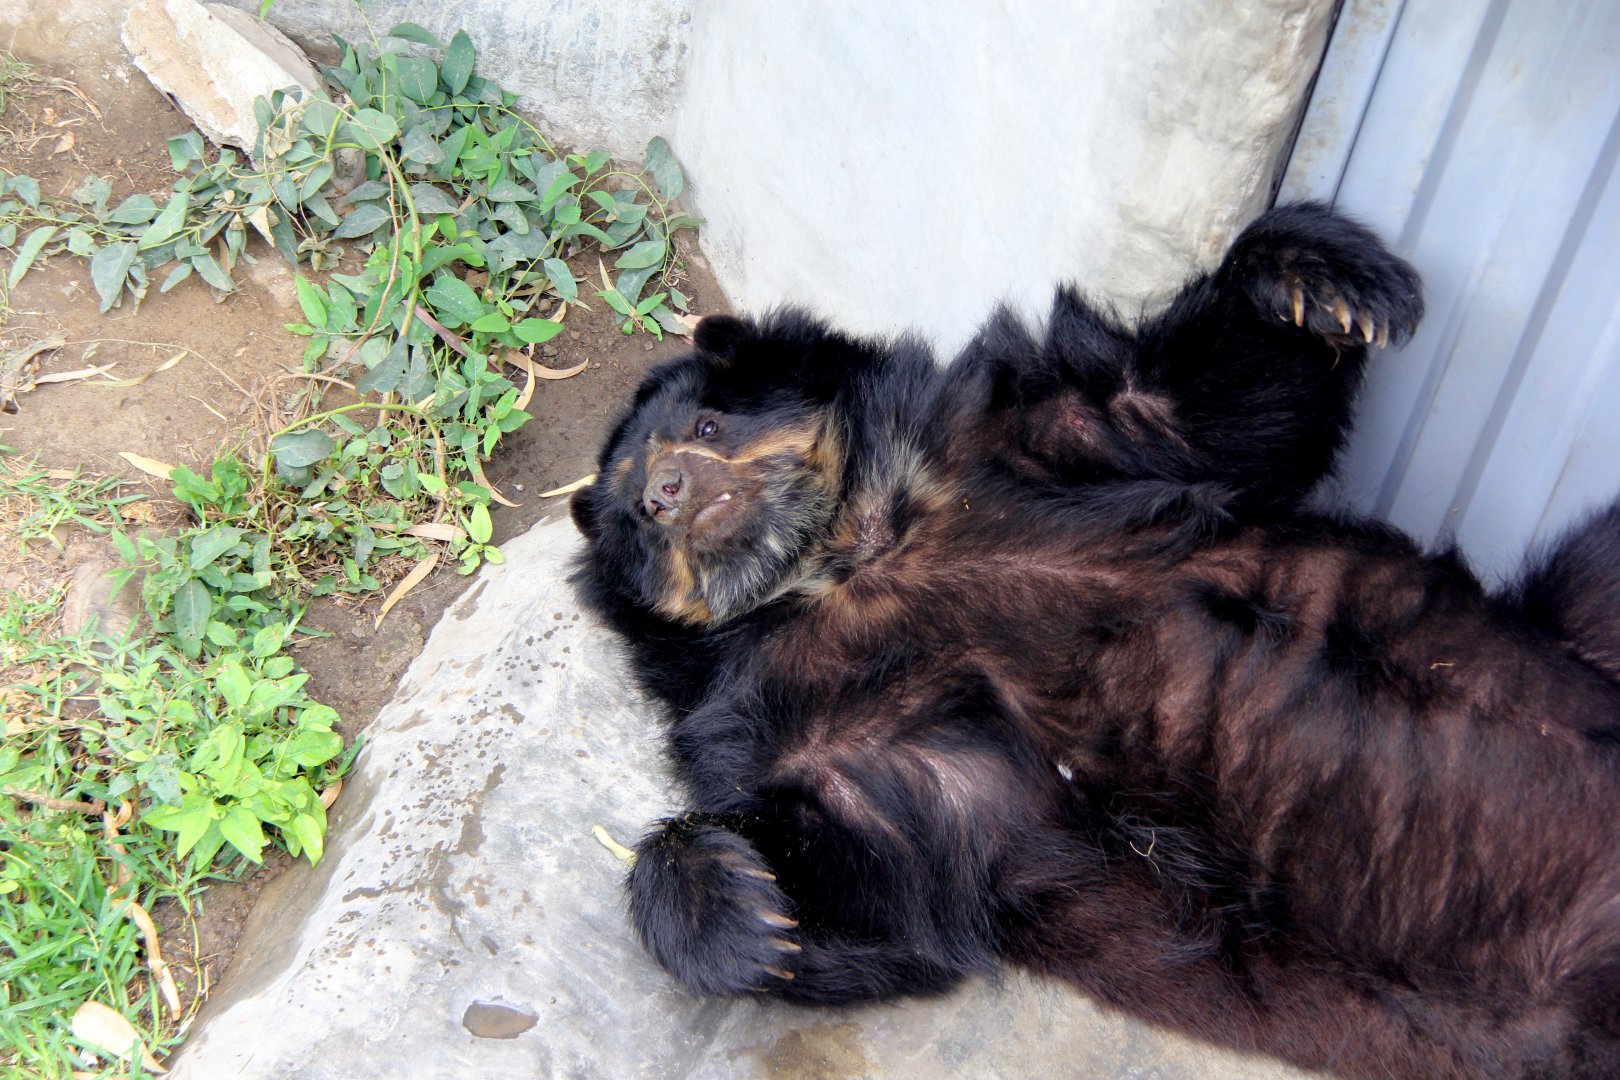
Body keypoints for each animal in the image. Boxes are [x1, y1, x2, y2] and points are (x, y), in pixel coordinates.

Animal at [569, 202, 1620, 1079]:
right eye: (632, 518)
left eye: (708, 424)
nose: (666, 495)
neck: (847, 555)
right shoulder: (804, 715)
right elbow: (893, 880)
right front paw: (744, 907)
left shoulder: (1025, 437)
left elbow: (1197, 405)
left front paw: (1331, 285)